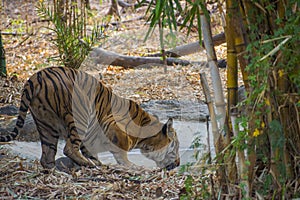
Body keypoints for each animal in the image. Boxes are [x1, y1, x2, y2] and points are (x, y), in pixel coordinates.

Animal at [0, 66, 180, 170]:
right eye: (175, 147)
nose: (178, 164)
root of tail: (36, 77)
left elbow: (90, 149)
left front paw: (98, 160)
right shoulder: (114, 126)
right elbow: (121, 153)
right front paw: (131, 166)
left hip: (46, 124)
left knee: (47, 157)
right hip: (80, 115)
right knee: (69, 148)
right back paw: (88, 164)